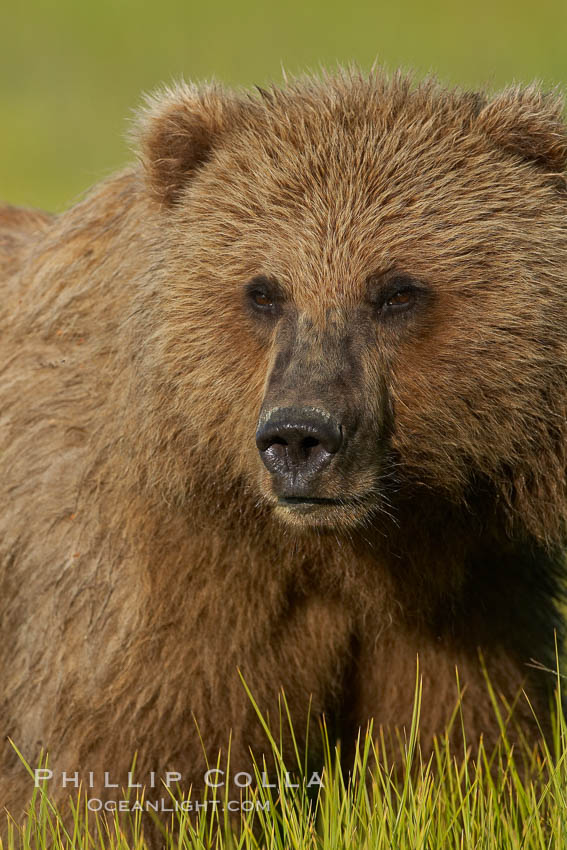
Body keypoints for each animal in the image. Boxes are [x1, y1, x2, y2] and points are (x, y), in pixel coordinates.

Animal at [1, 69, 567, 824]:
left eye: (395, 291)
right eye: (264, 291)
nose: (300, 436)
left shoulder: (467, 598)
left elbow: (466, 756)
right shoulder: (141, 611)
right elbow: (118, 778)